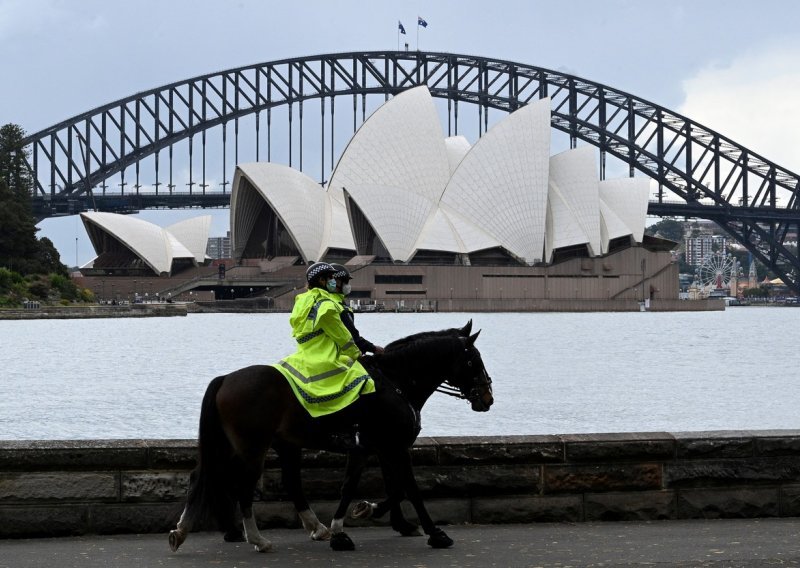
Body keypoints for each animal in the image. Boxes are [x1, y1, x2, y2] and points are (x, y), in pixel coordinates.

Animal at [171, 324, 490, 556]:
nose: (487, 398)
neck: (395, 383)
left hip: (242, 444)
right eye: (474, 359)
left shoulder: (377, 447)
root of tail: (225, 378)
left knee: (207, 475)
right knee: (241, 486)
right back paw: (257, 538)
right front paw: (435, 533)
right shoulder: (389, 446)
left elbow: (387, 485)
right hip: (252, 447)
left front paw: (368, 516)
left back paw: (187, 530)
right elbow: (405, 487)